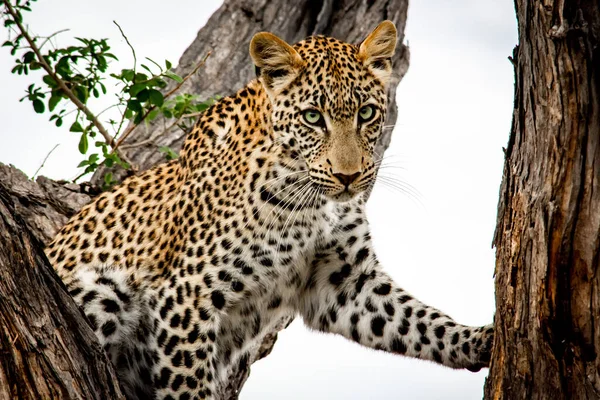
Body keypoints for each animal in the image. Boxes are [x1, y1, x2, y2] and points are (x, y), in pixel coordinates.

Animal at [45, 21, 492, 400]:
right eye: (313, 117)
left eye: (366, 113)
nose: (348, 177)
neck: (314, 202)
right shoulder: (186, 295)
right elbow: (188, 383)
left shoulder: (345, 282)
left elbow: (420, 322)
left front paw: (480, 339)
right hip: (105, 288)